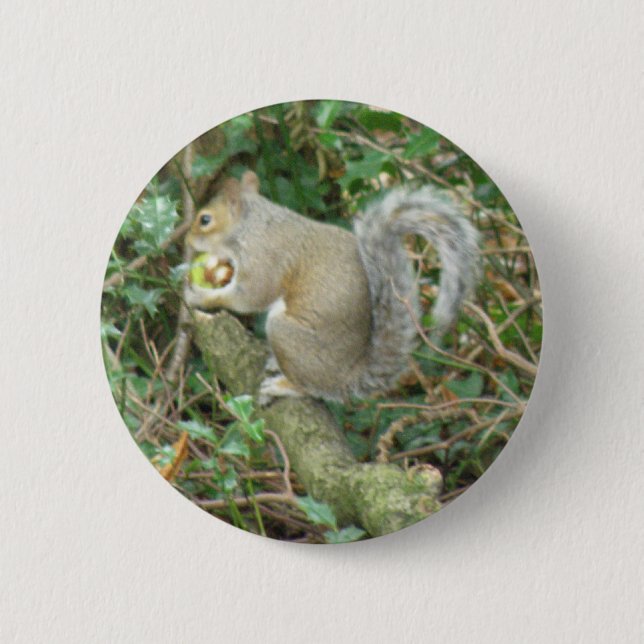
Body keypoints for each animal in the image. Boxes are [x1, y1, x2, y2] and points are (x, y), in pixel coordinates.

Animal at [185, 170, 479, 403]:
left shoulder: (264, 258)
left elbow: (250, 296)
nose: (187, 240)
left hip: (286, 335)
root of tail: (345, 378)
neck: (252, 226)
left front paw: (200, 296)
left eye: (205, 220)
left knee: (310, 388)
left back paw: (284, 386)